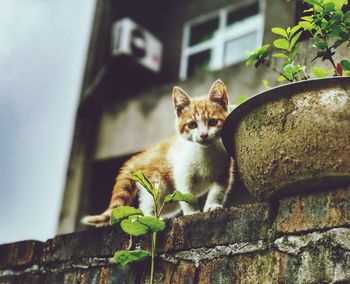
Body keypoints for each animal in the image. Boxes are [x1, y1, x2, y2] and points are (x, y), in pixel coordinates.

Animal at [82, 79, 234, 226]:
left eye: (213, 121)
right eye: (192, 125)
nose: (203, 135)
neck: (205, 152)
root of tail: (143, 155)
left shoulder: (224, 172)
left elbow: (218, 191)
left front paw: (213, 206)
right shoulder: (182, 173)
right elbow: (187, 195)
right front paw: (192, 213)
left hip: (169, 199)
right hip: (156, 184)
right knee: (148, 203)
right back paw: (149, 219)